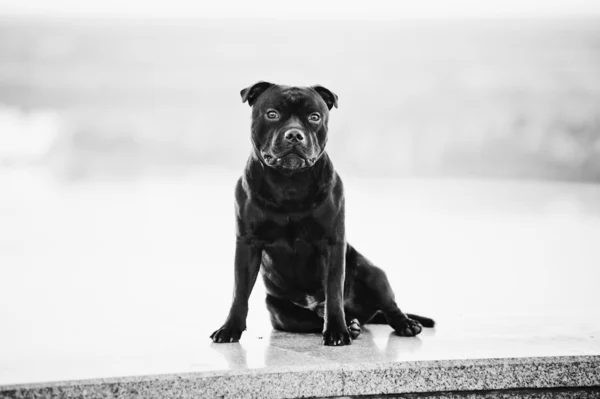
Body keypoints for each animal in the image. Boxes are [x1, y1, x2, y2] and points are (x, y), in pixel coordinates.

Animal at [209, 82, 434, 346]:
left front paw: (337, 330)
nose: (294, 134)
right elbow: (239, 291)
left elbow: (334, 292)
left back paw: (402, 324)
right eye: (272, 114)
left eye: (314, 117)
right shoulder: (248, 244)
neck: (290, 182)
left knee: (388, 305)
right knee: (311, 319)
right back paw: (352, 325)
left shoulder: (332, 243)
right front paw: (230, 328)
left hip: (373, 274)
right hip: (281, 312)